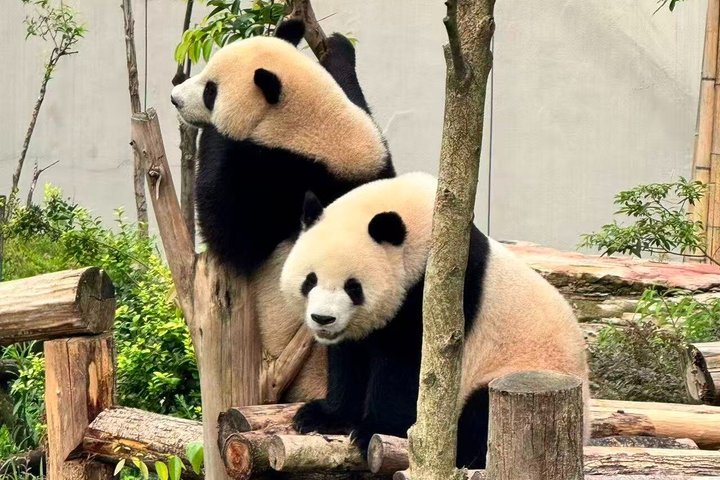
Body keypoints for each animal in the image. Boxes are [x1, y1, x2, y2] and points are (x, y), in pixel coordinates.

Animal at [170, 20, 395, 401]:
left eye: (211, 90)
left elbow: (231, 232)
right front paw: (336, 49)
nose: (175, 98)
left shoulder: (279, 181)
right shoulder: (374, 161)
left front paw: (218, 132)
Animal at [280, 172, 590, 468]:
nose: (323, 318)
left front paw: (374, 431)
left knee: (483, 413)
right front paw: (321, 415)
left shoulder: (437, 294)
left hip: (519, 369)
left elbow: (407, 367)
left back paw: (463, 453)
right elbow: (350, 359)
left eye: (353, 287)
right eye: (310, 280)